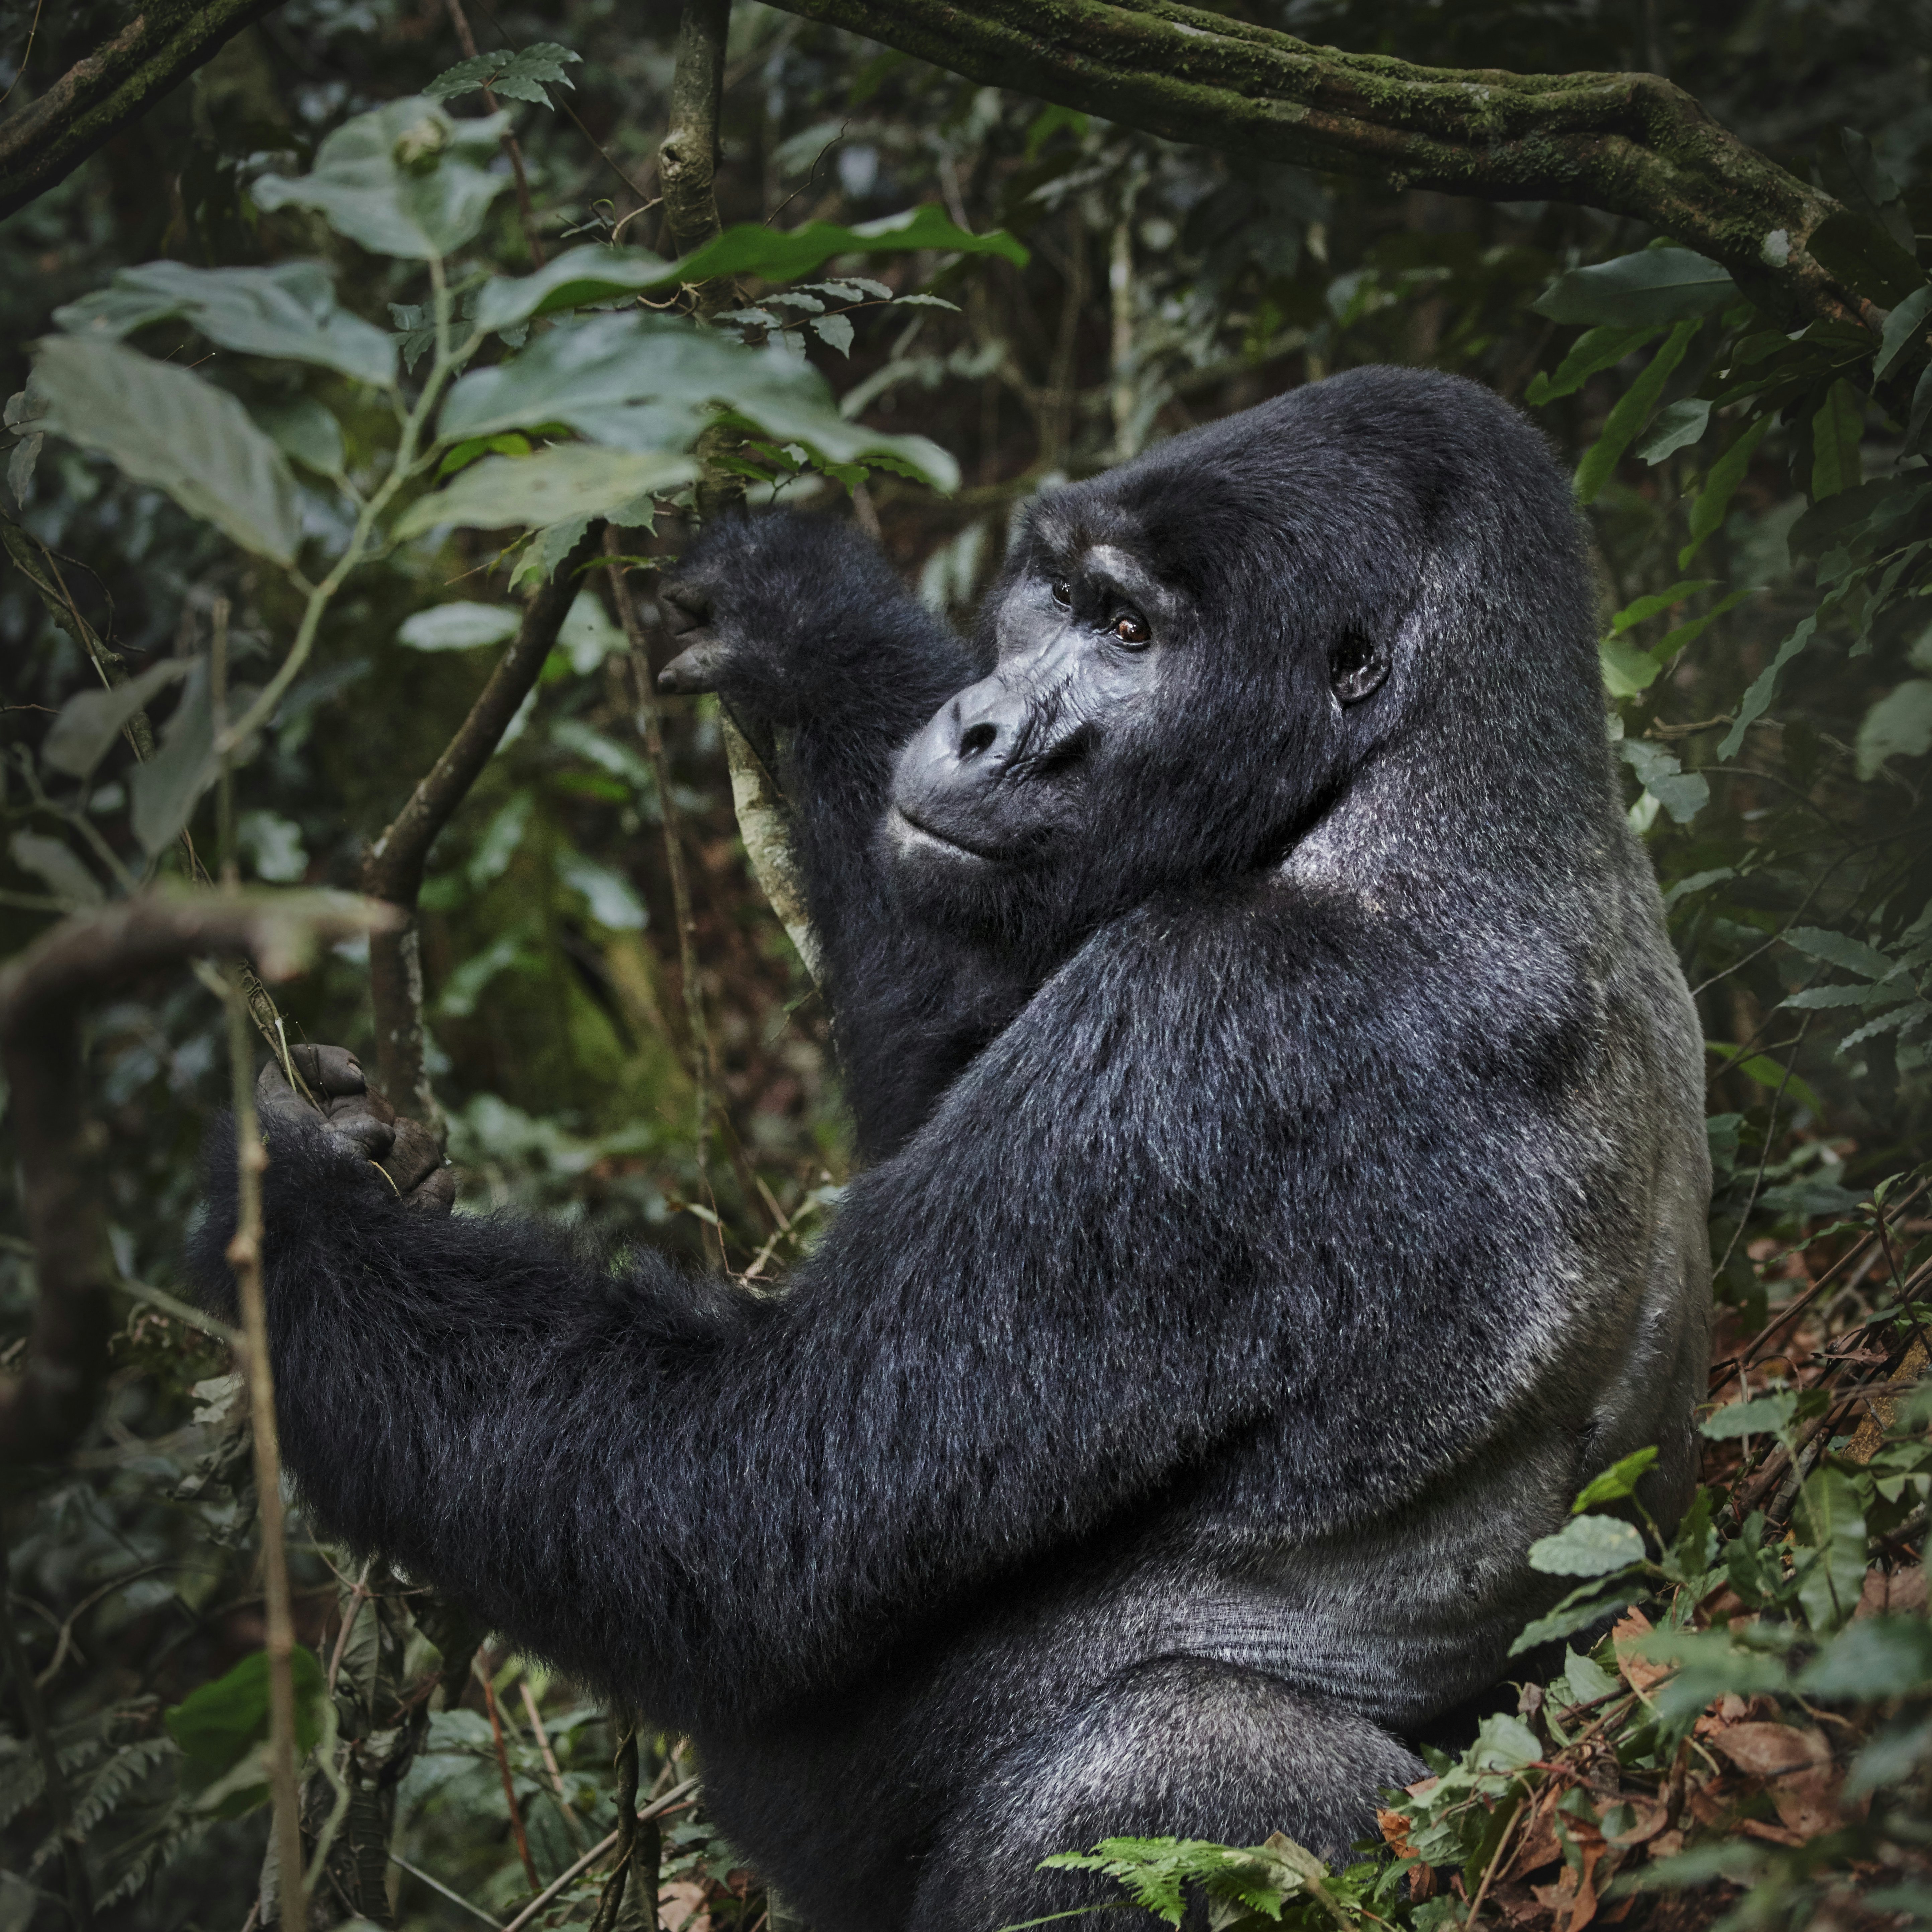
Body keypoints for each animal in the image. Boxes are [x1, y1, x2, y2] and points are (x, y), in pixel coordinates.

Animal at [192, 369, 1708, 1932]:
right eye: (1059, 595)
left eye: (1132, 633)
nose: (981, 728)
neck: (1427, 781)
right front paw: (796, 614)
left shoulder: (1218, 1028)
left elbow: (742, 1500)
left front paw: (284, 1208)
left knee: (1179, 1763)